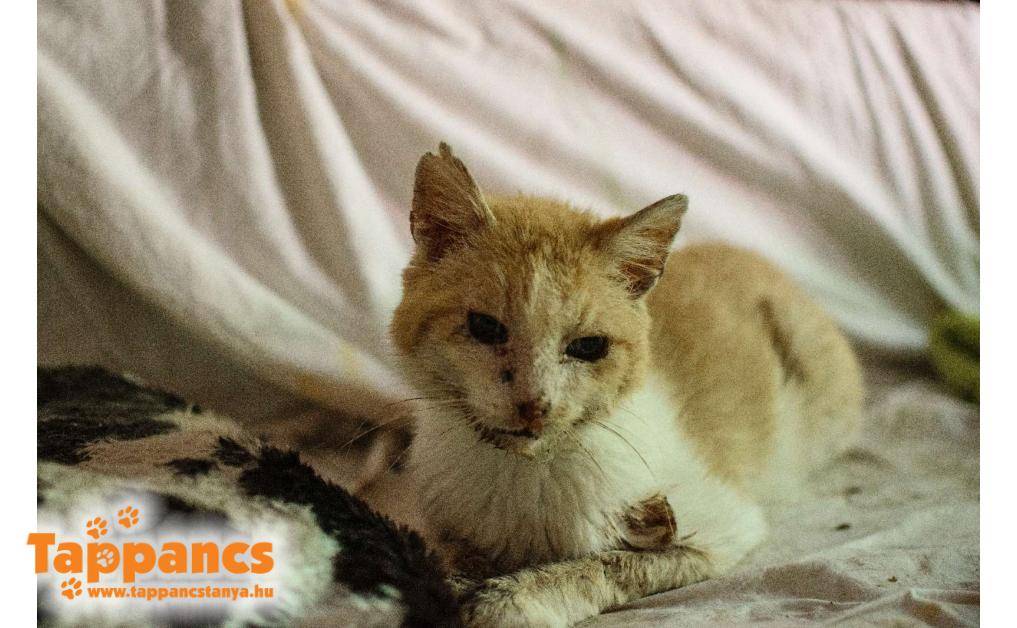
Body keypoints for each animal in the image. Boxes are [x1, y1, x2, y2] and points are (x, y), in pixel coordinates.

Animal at [390, 143, 863, 626]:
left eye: (588, 346)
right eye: (485, 327)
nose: (534, 405)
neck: (523, 472)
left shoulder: (718, 529)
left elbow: (598, 567)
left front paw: (505, 599)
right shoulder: (438, 520)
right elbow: (447, 556)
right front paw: (451, 586)